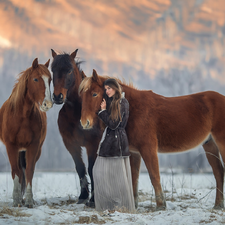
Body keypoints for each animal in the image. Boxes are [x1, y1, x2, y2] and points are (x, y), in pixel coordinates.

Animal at [0, 58, 52, 207]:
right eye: (35, 79)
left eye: (50, 79)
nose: (47, 104)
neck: (22, 116)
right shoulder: (11, 147)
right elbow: (15, 171)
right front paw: (16, 200)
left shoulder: (33, 147)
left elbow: (29, 171)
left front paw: (29, 200)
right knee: (17, 170)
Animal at [50, 49, 142, 207]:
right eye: (52, 70)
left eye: (69, 70)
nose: (57, 96)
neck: (76, 111)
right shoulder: (71, 144)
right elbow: (80, 168)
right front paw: (83, 196)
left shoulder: (92, 144)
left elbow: (91, 168)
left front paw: (93, 199)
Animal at [78, 69, 225, 210]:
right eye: (82, 96)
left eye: (94, 94)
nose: (84, 122)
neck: (134, 109)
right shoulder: (134, 153)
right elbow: (134, 178)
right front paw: (135, 205)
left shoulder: (148, 148)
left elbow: (154, 175)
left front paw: (161, 205)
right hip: (210, 144)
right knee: (218, 172)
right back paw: (218, 205)